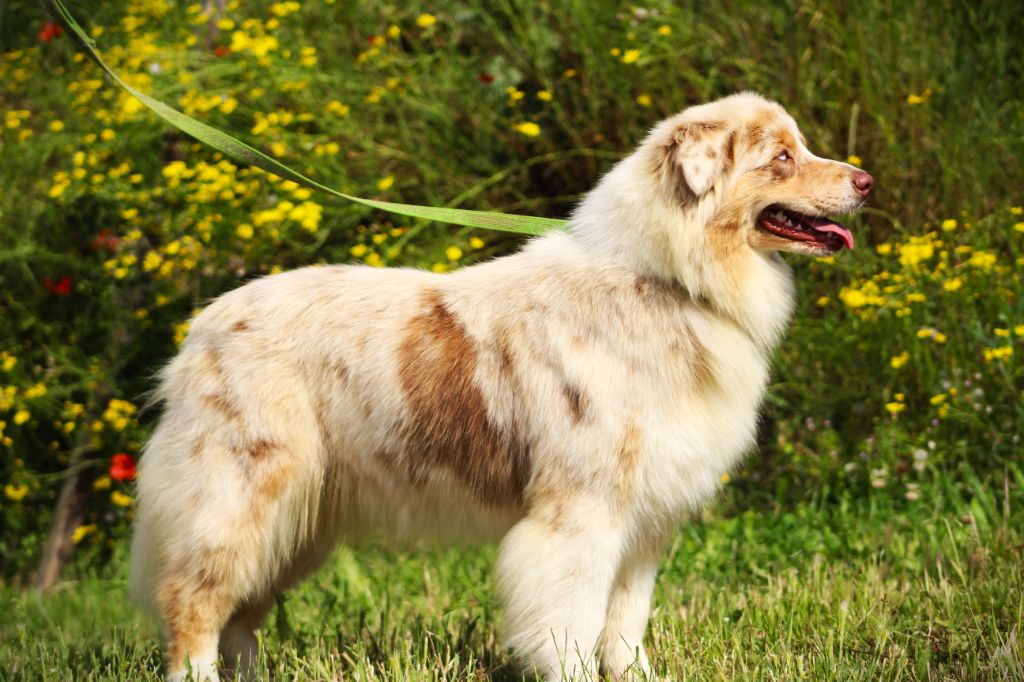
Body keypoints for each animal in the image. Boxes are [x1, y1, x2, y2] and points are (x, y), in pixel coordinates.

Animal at [130, 91, 872, 679]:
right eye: (781, 157)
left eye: (800, 146)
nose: (866, 181)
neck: (666, 282)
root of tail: (202, 326)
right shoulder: (581, 512)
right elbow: (571, 623)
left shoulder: (646, 518)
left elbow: (626, 626)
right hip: (239, 499)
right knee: (192, 601)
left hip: (299, 521)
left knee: (239, 616)